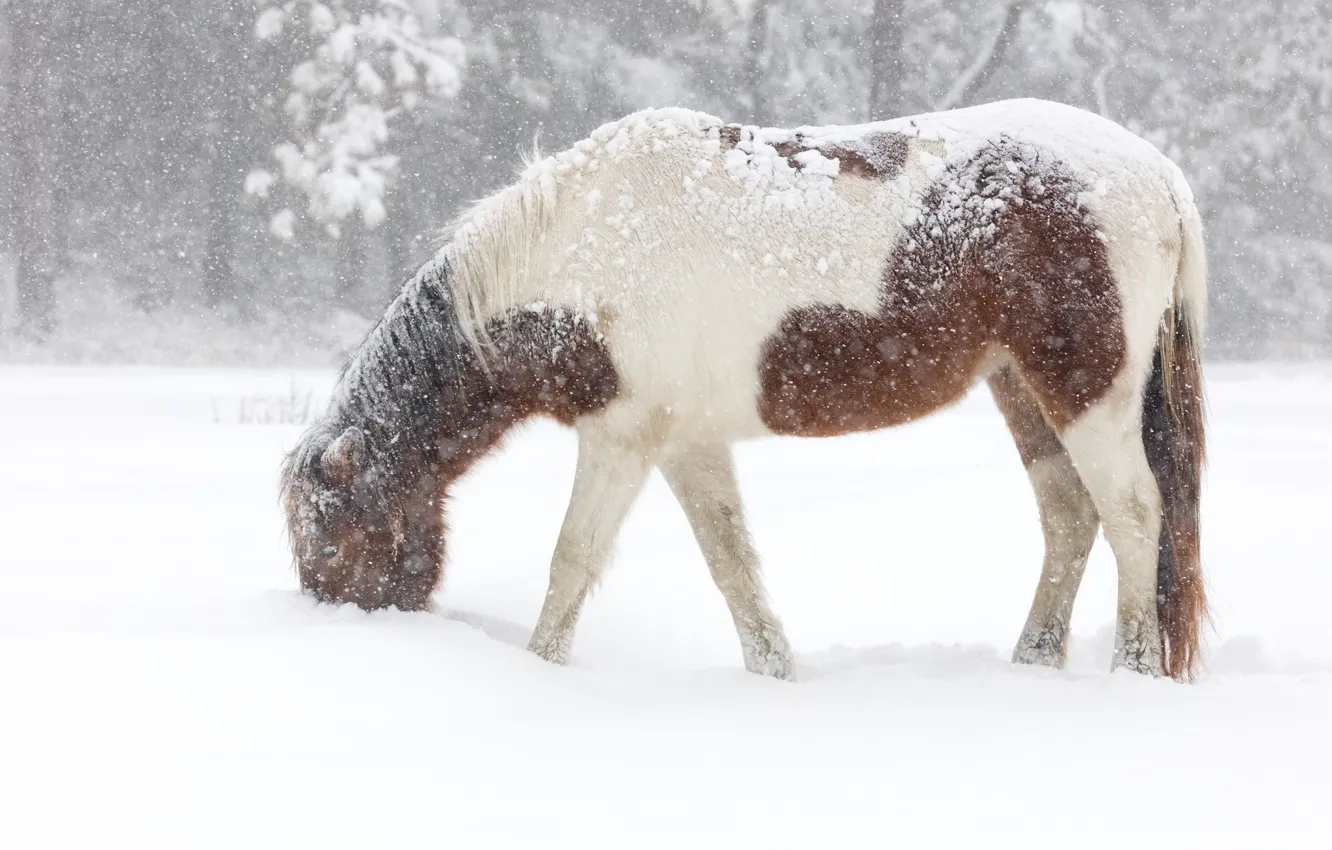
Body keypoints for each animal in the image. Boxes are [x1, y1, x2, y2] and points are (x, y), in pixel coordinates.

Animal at [281, 98, 1207, 681]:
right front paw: (773, 676)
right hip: (1021, 388)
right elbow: (731, 563)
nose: (339, 630)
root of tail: (1160, 172)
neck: (579, 250)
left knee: (1134, 516)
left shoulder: (621, 437)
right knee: (1070, 518)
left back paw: (1130, 670)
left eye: (328, 543)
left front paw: (540, 673)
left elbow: (573, 561)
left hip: (1087, 391)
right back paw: (1032, 665)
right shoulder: (687, 443)